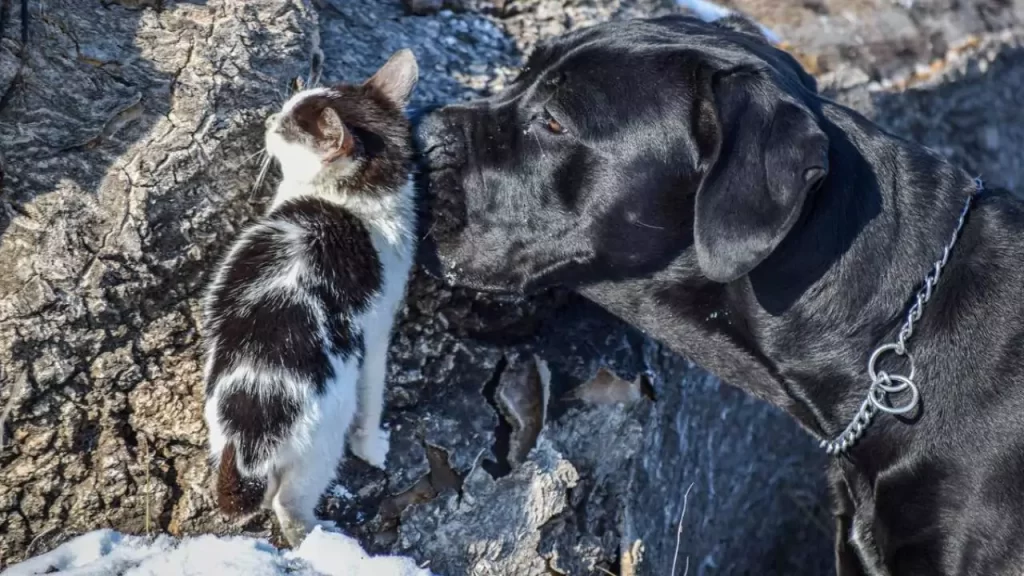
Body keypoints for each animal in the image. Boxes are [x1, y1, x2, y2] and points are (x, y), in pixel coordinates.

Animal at [201, 49, 417, 541]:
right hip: (320, 444)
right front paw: (372, 445)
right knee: (289, 504)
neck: (353, 201)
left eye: (286, 128)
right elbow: (373, 395)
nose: (267, 120)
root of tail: (253, 427)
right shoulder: (378, 329)